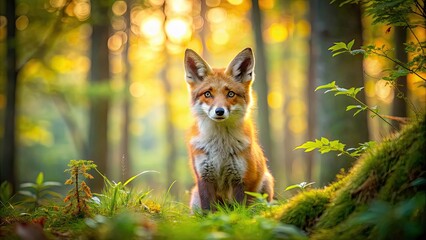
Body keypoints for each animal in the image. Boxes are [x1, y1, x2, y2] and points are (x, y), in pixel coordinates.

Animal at [185, 47, 274, 212]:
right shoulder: (204, 177)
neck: (220, 147)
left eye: (230, 94)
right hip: (195, 198)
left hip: (266, 184)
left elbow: (241, 212)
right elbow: (208, 212)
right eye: (208, 94)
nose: (219, 111)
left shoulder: (242, 179)